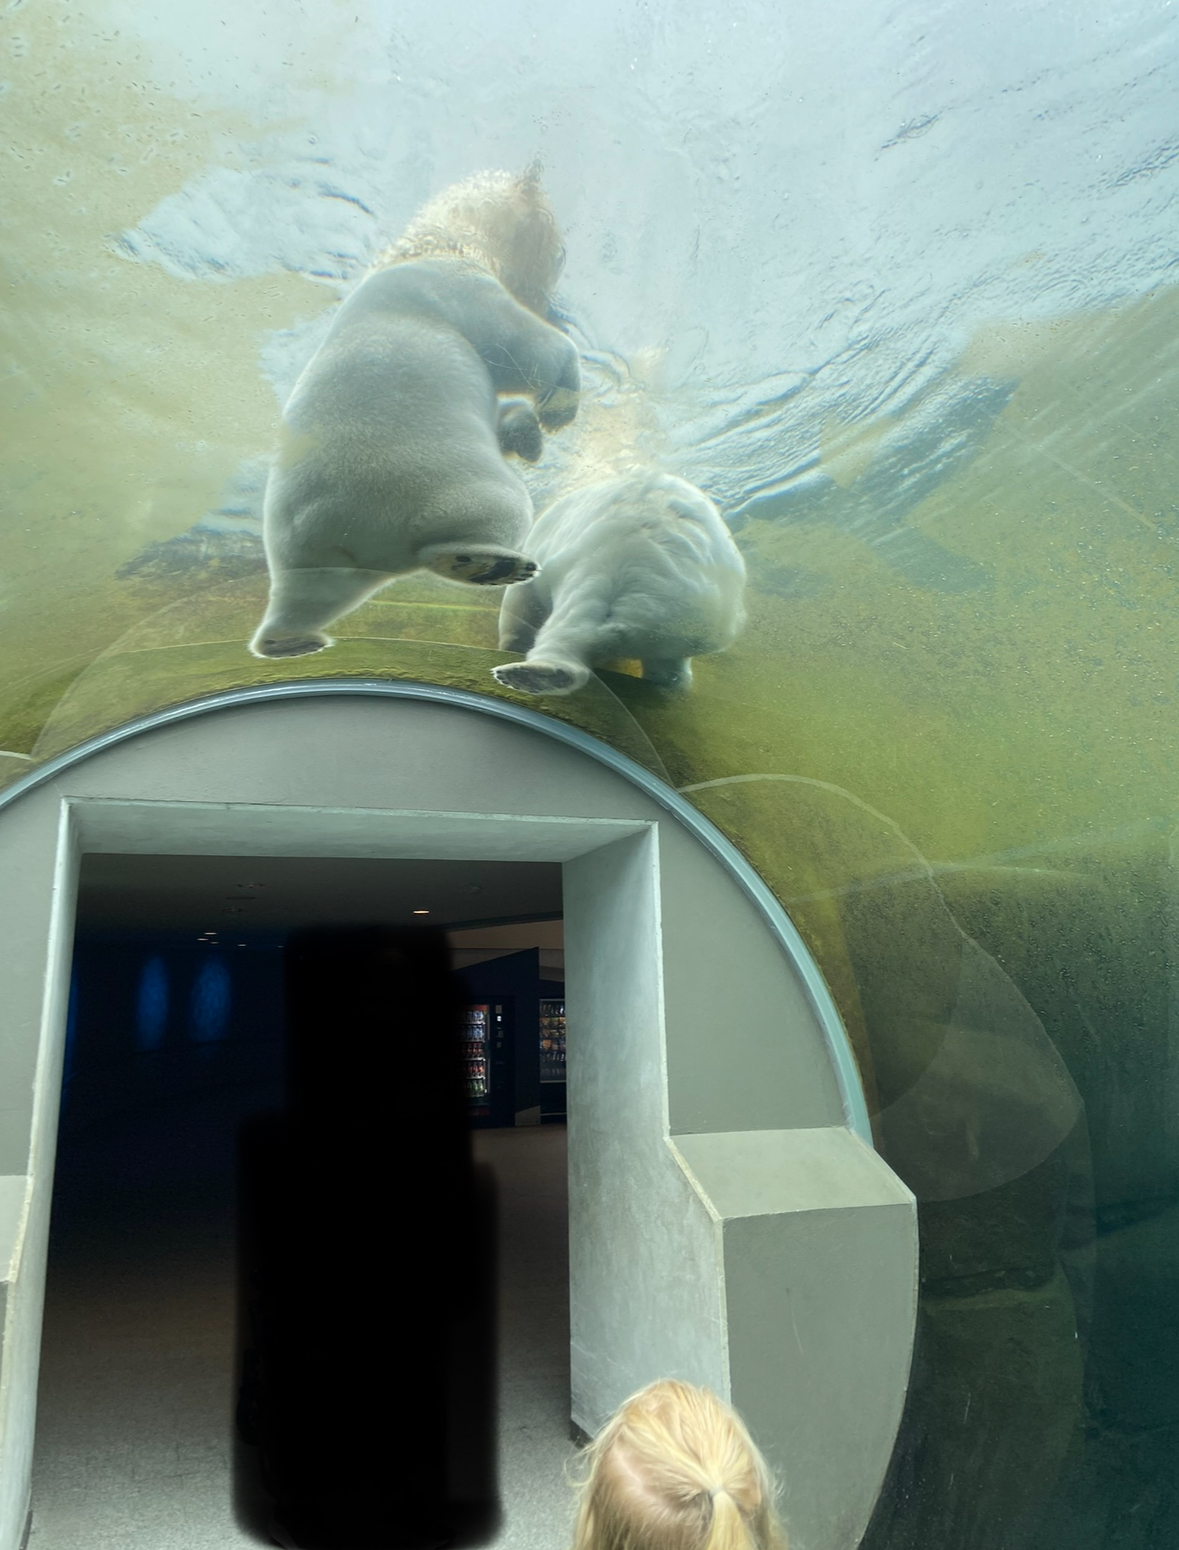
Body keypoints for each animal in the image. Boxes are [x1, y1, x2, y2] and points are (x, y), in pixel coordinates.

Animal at [249, 168, 580, 659]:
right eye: (558, 250)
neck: (430, 244)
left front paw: (530, 437)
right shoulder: (454, 284)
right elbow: (518, 345)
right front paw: (561, 404)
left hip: (306, 546)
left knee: (313, 593)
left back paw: (287, 639)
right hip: (428, 478)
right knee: (498, 507)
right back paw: (486, 563)